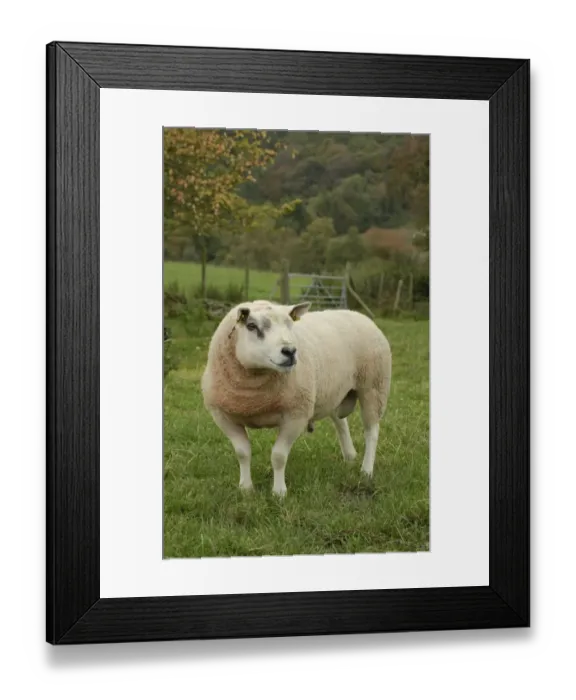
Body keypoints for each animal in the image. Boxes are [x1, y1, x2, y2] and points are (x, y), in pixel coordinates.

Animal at [201, 299, 392, 497]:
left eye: (289, 324)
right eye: (251, 326)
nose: (290, 351)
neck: (255, 398)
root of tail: (357, 314)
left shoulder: (296, 414)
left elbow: (278, 456)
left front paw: (279, 492)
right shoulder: (223, 416)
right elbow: (242, 452)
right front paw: (246, 488)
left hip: (374, 387)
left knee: (371, 431)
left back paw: (366, 470)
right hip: (334, 391)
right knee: (341, 423)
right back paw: (350, 456)